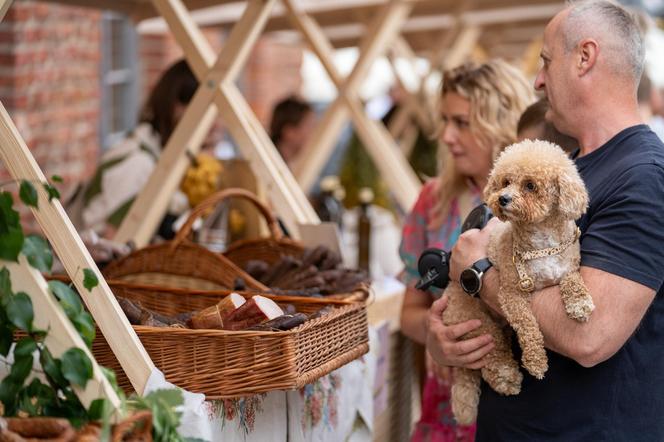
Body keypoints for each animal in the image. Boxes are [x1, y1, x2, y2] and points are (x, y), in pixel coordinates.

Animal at [444, 140, 592, 424]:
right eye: (505, 182)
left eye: (530, 185)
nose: (503, 199)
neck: (541, 244)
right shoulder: (512, 295)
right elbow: (528, 327)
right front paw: (536, 362)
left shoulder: (568, 268)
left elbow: (573, 281)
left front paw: (580, 303)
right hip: (480, 325)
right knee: (493, 360)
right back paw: (507, 377)